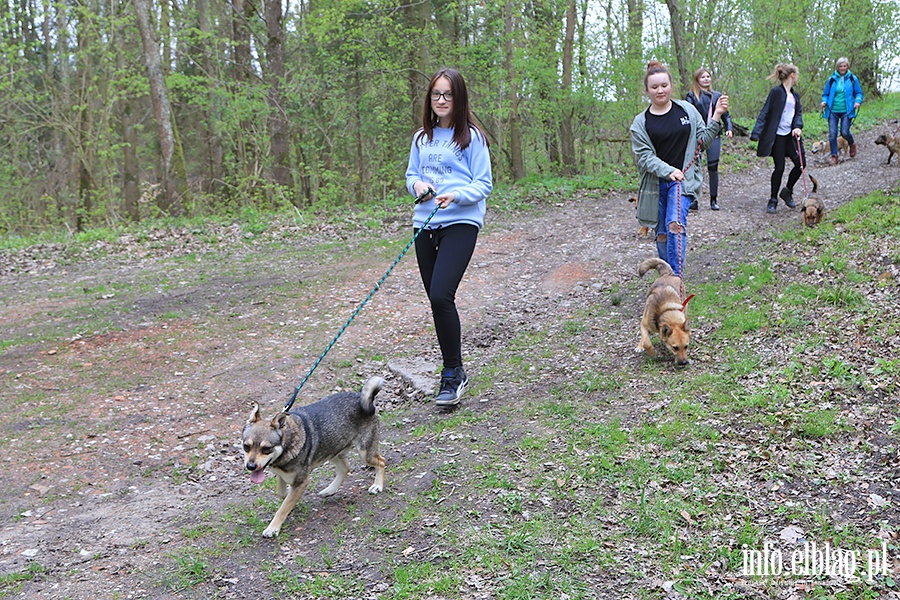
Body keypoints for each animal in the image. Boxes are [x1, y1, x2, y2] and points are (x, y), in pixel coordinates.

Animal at [243, 378, 386, 536]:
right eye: (246, 447)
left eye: (266, 449)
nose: (250, 466)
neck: (288, 441)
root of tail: (360, 397)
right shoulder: (282, 474)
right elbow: (281, 494)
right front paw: (288, 498)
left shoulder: (302, 481)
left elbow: (283, 508)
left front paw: (273, 528)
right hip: (332, 450)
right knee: (345, 468)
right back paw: (330, 490)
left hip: (364, 453)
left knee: (381, 461)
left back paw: (377, 486)